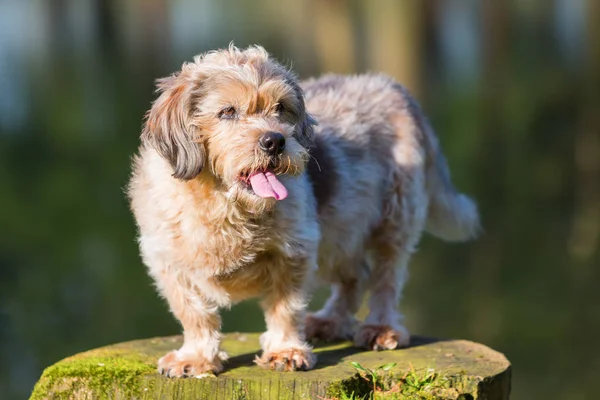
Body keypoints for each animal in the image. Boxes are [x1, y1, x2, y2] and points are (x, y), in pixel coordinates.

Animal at [126, 45, 478, 376]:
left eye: (280, 108)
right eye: (227, 111)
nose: (274, 141)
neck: (227, 207)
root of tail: (391, 86)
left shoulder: (293, 251)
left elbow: (285, 307)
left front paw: (285, 351)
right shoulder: (168, 264)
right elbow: (194, 313)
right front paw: (196, 357)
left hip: (392, 223)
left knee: (385, 279)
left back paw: (380, 327)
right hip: (339, 235)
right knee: (356, 276)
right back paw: (330, 321)